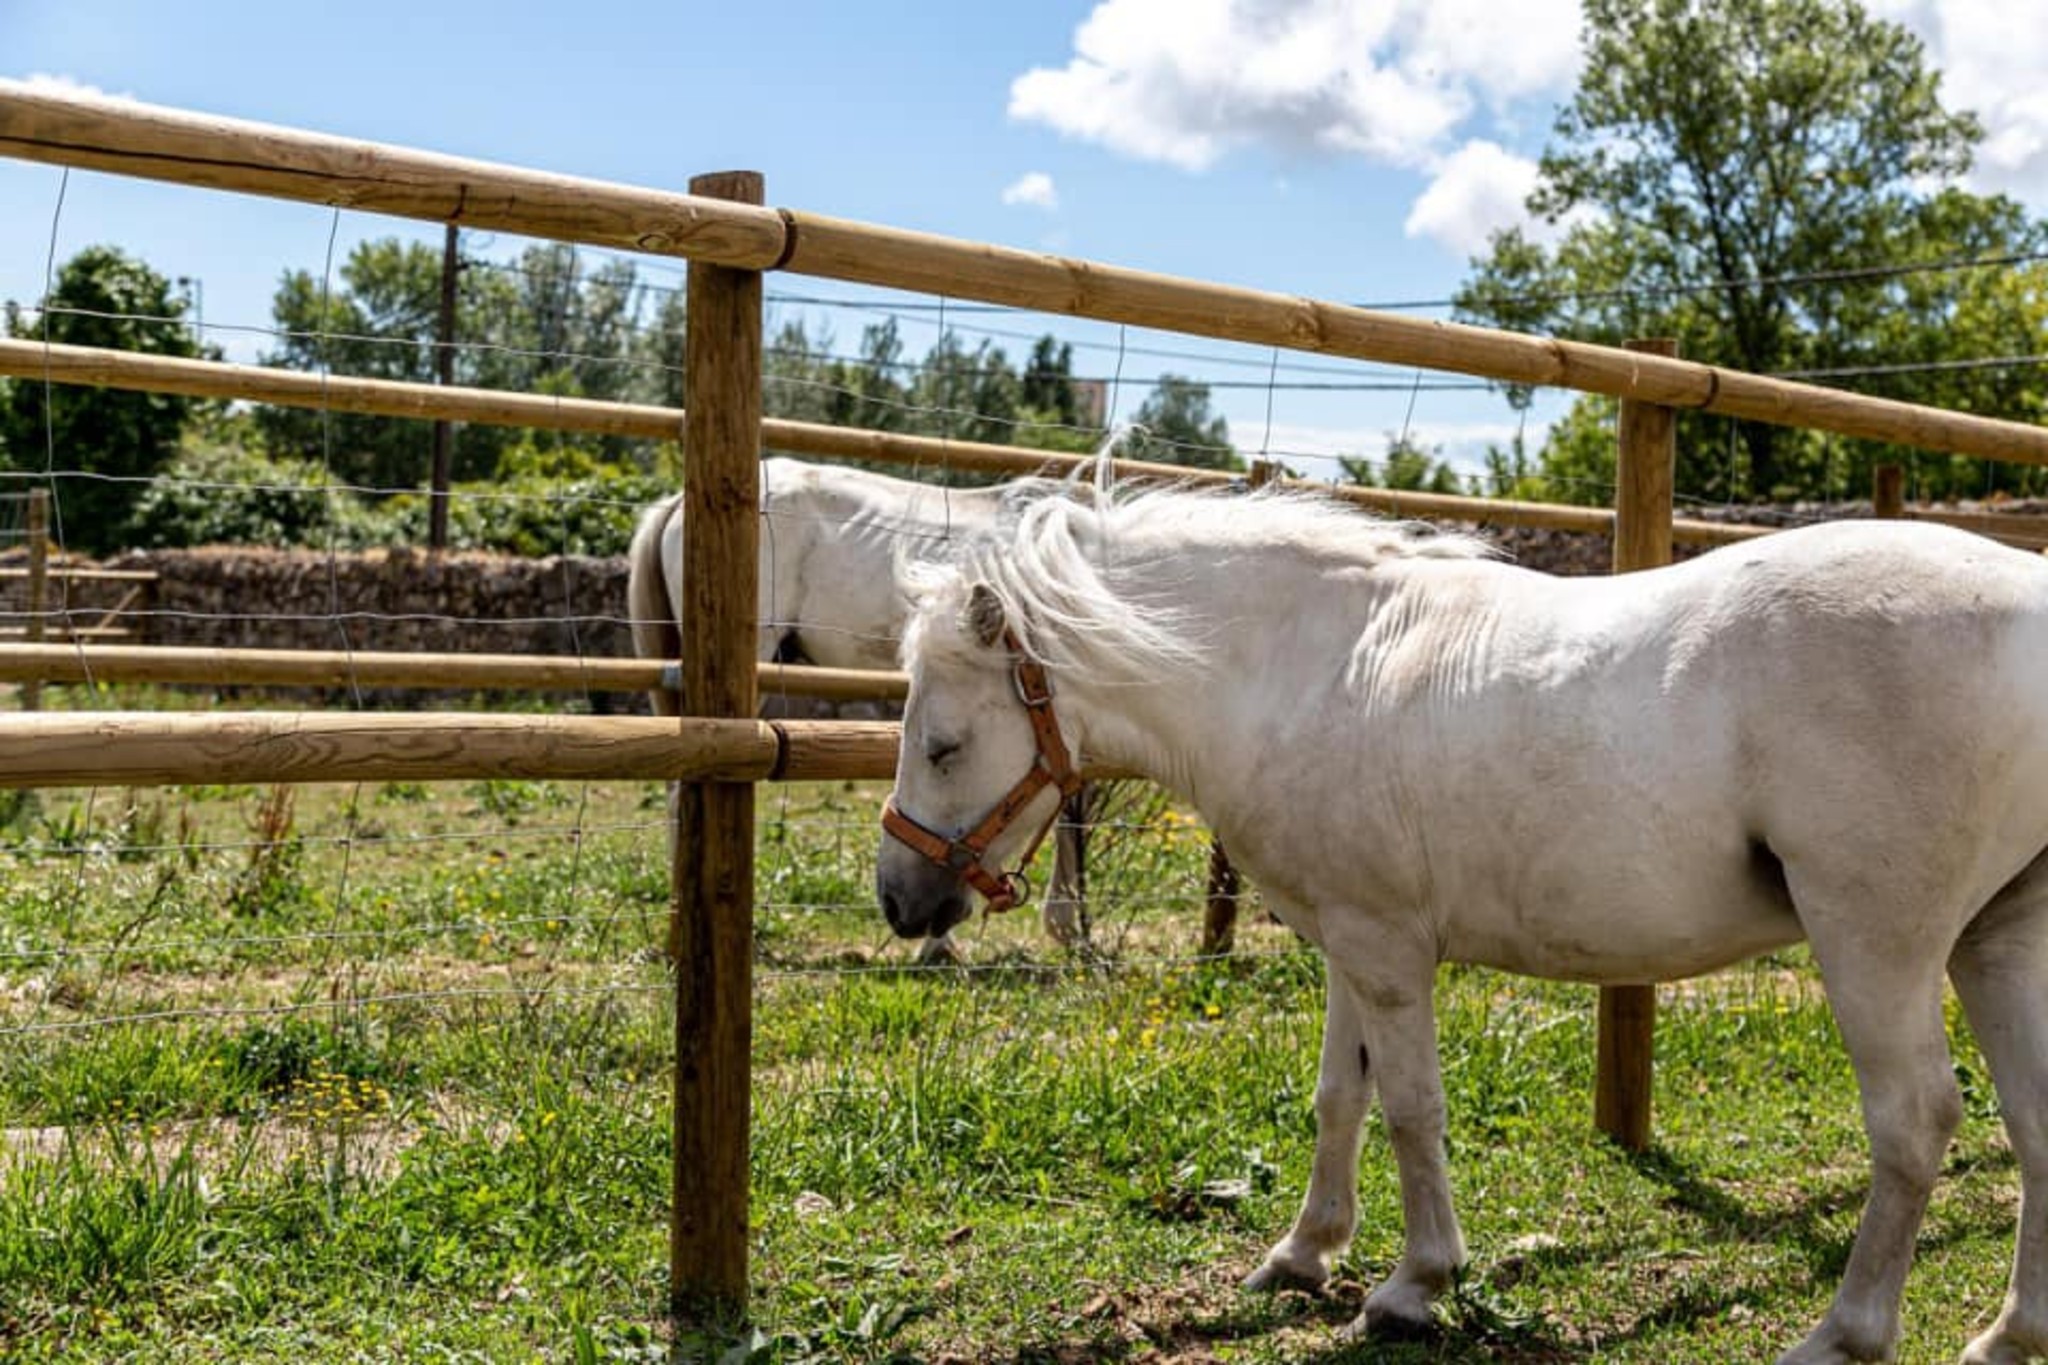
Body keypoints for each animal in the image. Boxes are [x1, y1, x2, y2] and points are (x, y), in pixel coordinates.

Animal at [876, 485, 2048, 1365]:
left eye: (941, 744)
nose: (899, 901)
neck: (1312, 669)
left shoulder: (1389, 953)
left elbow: (1408, 1111)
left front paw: (1412, 1283)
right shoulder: (1351, 942)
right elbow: (1337, 1099)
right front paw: (1303, 1253)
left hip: (1876, 948)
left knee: (1912, 1123)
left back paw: (1843, 1334)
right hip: (1993, 942)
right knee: (2031, 1122)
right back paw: (2008, 1334)